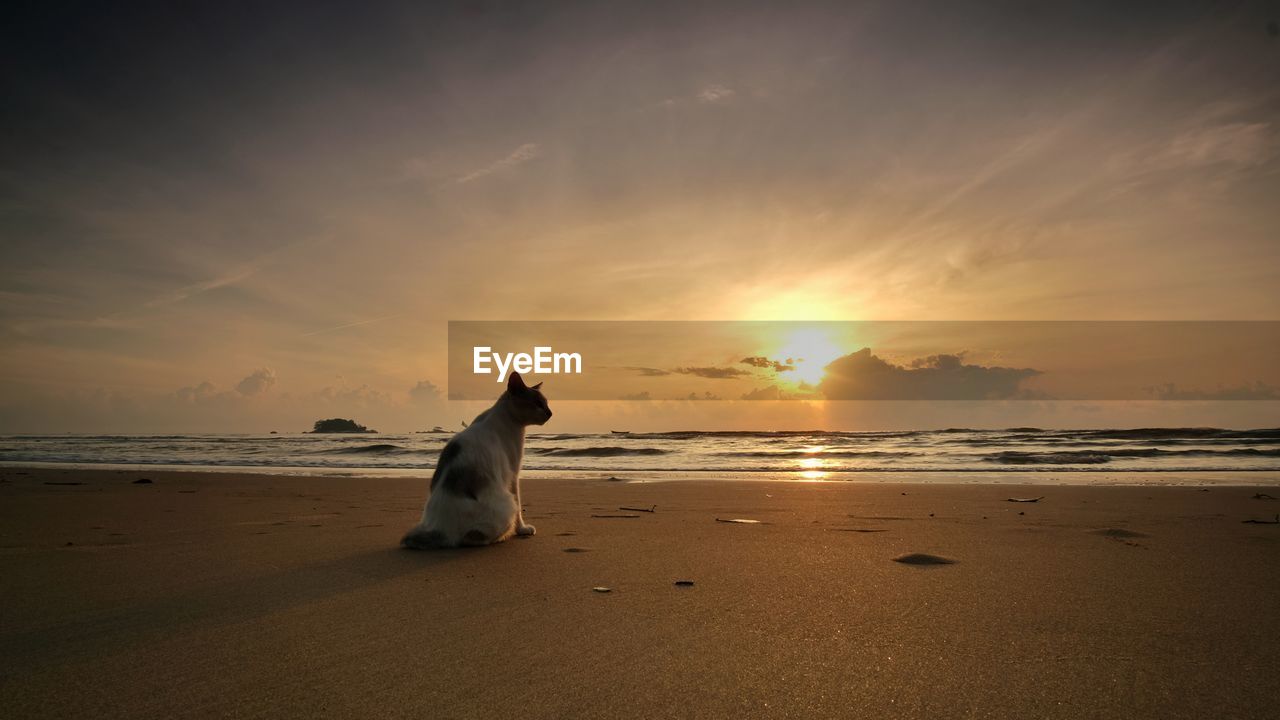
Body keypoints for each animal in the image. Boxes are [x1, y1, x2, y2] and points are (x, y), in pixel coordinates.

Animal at [399, 368, 550, 543]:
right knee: (474, 537)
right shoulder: (513, 473)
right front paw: (522, 529)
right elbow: (519, 506)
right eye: (538, 403)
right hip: (506, 503)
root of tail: (441, 529)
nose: (550, 413)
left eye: (546, 403)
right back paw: (502, 535)